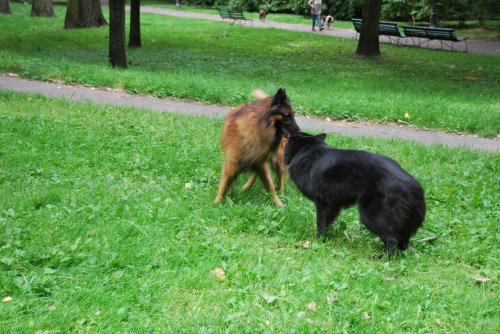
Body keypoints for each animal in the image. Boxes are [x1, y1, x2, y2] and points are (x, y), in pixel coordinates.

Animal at [286, 132, 426, 258]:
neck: (310, 149)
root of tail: (414, 186)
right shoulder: (333, 204)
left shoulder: (322, 202)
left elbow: (321, 224)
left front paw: (316, 240)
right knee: (402, 241)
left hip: (370, 216)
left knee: (392, 240)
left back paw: (381, 258)